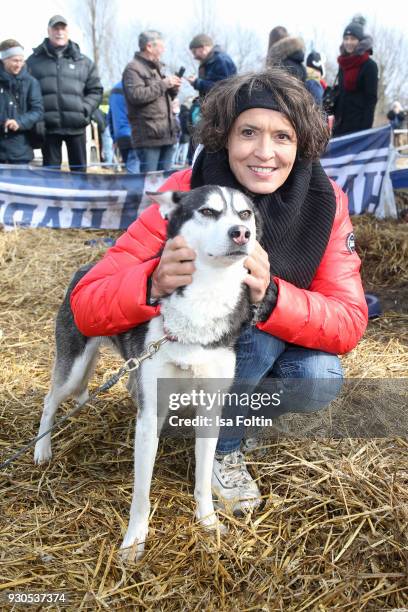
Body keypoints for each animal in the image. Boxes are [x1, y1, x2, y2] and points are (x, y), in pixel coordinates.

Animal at [32, 185, 262, 560]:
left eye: (245, 214)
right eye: (208, 211)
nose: (241, 233)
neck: (204, 300)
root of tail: (85, 268)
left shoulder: (210, 410)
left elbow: (202, 481)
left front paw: (208, 523)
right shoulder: (150, 415)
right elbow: (141, 493)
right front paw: (134, 541)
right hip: (73, 367)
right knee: (51, 400)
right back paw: (42, 450)